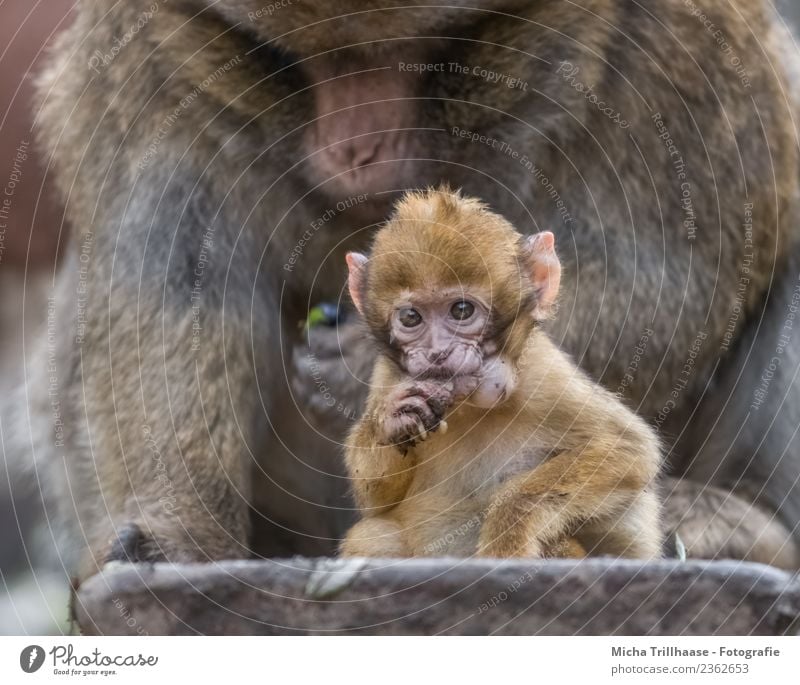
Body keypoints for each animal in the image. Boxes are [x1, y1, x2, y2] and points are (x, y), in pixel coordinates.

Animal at [344, 186, 664, 556]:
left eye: (462, 310)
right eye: (411, 317)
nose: (437, 353)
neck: (470, 407)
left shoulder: (541, 373)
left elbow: (628, 449)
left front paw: (509, 529)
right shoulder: (386, 376)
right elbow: (376, 500)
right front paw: (394, 417)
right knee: (374, 532)